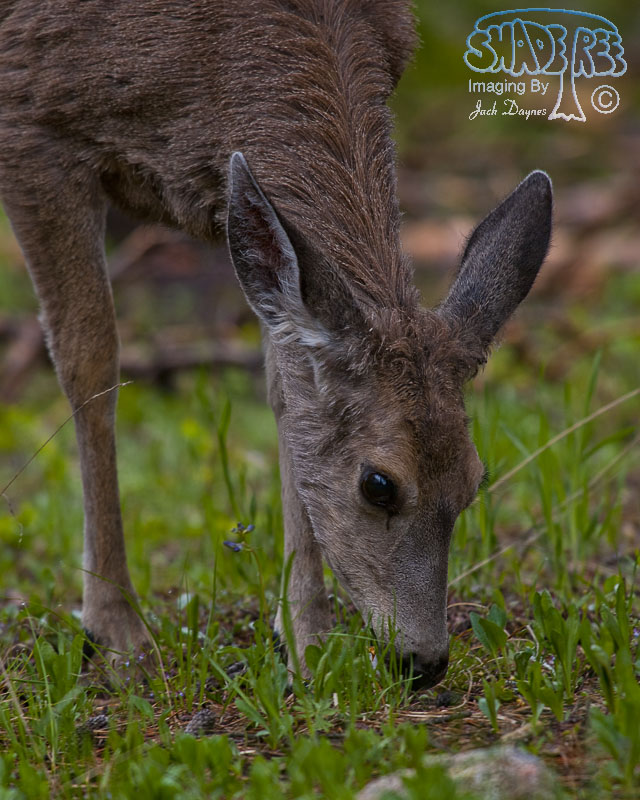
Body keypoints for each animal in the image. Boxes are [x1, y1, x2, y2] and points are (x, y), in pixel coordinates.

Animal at [0, 0, 552, 689]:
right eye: (379, 483)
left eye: (476, 479)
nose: (425, 660)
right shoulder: (32, 125)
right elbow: (90, 360)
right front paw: (118, 634)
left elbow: (287, 390)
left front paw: (306, 640)